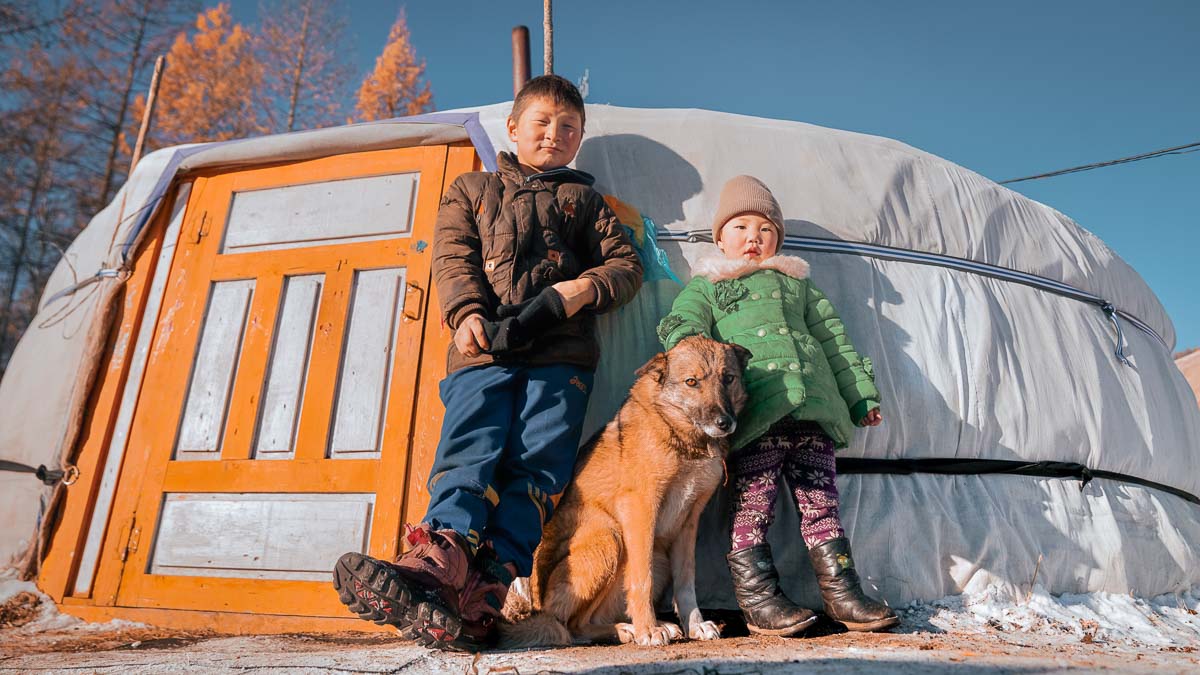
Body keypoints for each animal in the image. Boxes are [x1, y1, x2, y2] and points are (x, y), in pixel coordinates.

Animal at [499, 333, 744, 643]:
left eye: (728, 378)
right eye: (692, 381)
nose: (725, 423)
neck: (682, 437)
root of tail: (539, 608)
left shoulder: (689, 522)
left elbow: (686, 581)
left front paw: (694, 624)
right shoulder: (640, 509)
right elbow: (641, 579)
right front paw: (647, 630)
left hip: (657, 556)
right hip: (609, 535)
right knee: (573, 626)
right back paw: (629, 630)